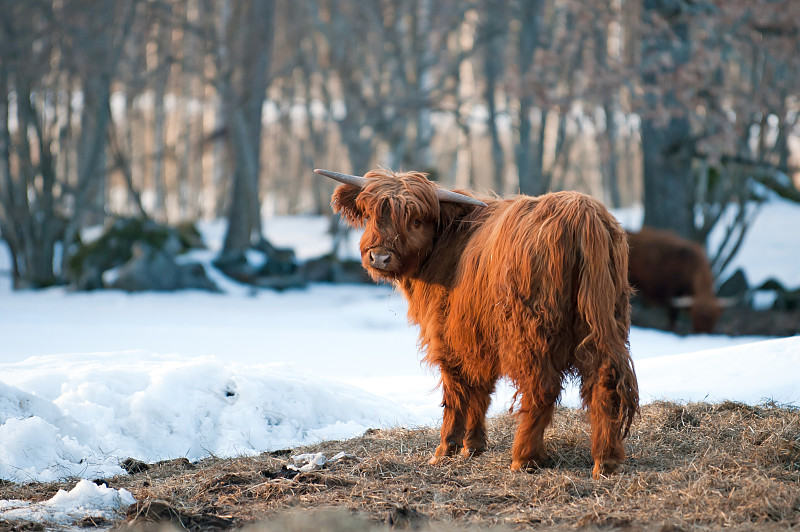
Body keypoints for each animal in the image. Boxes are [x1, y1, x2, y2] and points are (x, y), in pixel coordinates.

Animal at [316, 167, 640, 478]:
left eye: (416, 220)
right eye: (371, 214)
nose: (380, 257)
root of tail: (580, 211)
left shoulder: (448, 334)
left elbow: (457, 391)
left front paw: (446, 448)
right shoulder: (478, 336)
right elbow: (480, 390)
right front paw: (473, 445)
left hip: (530, 330)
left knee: (542, 386)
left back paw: (524, 458)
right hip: (605, 319)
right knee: (604, 379)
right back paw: (606, 460)